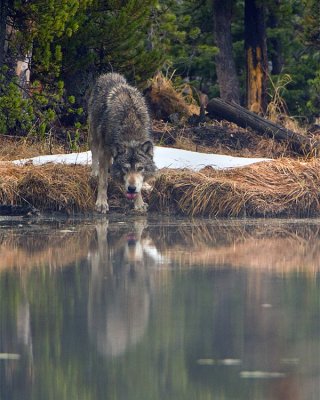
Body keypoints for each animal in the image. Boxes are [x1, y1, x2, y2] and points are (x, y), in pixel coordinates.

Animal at [87, 73, 156, 214]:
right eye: (125, 168)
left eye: (140, 168)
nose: (131, 188)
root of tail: (109, 74)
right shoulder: (104, 150)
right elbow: (103, 181)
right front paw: (101, 203)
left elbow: (139, 185)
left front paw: (139, 203)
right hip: (94, 136)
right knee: (94, 156)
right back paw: (94, 173)